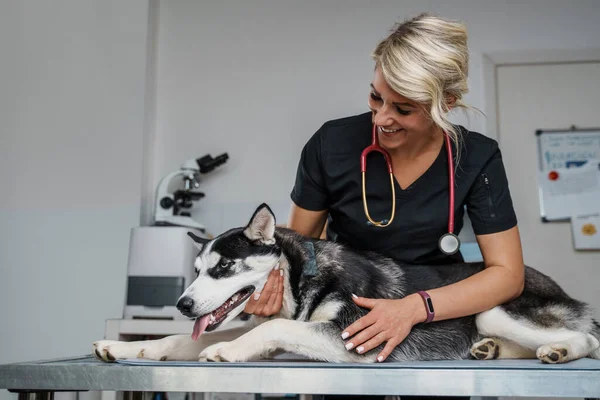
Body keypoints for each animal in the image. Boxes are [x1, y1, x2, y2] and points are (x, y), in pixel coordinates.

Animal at [94, 205, 600, 364]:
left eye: (224, 267)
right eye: (196, 269)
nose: (182, 303)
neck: (307, 275)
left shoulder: (351, 337)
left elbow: (271, 327)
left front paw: (225, 351)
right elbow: (178, 342)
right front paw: (126, 347)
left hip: (496, 309)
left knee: (587, 340)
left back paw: (556, 350)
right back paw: (489, 350)